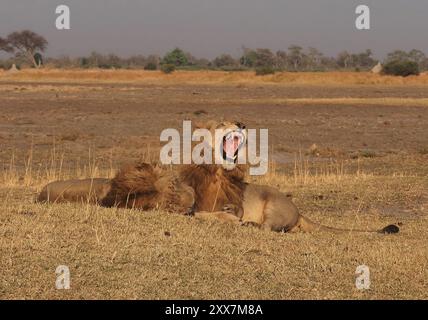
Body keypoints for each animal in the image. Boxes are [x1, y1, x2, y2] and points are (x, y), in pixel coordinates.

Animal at [35, 120, 400, 235]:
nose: (241, 124)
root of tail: (299, 210)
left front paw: (227, 218)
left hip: (273, 207)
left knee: (271, 228)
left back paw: (251, 224)